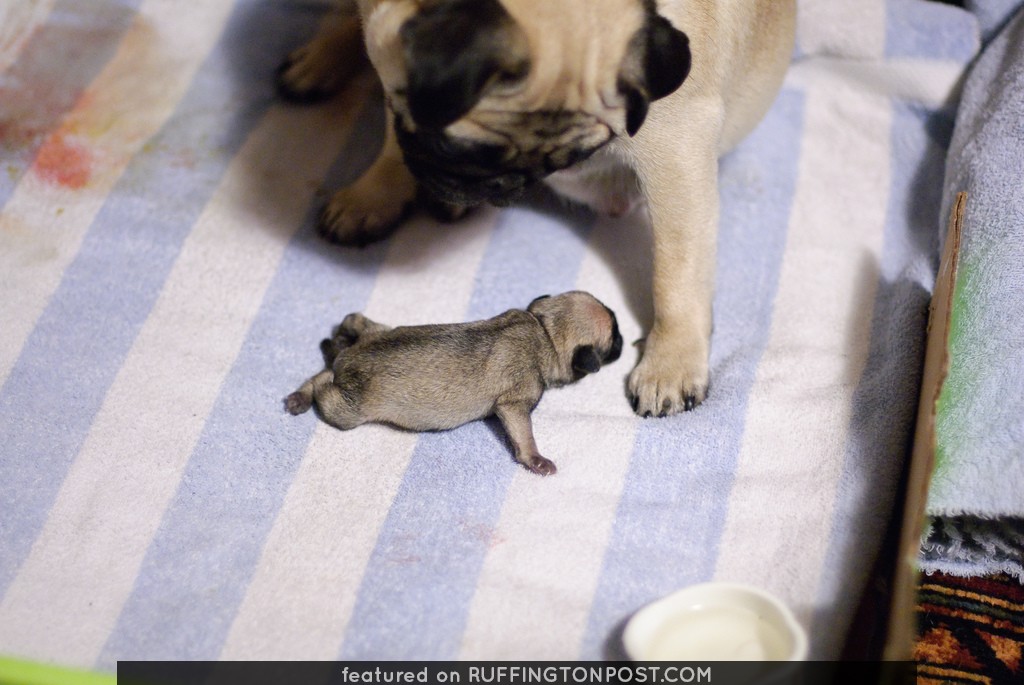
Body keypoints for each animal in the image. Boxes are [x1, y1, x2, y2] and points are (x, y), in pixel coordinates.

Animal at [280, 0, 798, 417]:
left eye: (579, 151)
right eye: (454, 147)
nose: (495, 183)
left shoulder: (676, 150)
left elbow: (676, 273)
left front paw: (669, 364)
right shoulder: (397, 89)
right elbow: (392, 137)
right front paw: (373, 194)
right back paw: (316, 61)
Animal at [288, 290, 622, 475]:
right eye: (614, 337)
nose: (623, 341)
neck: (545, 331)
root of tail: (350, 356)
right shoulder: (515, 403)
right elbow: (523, 433)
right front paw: (535, 459)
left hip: (377, 330)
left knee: (352, 325)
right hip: (349, 410)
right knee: (326, 386)